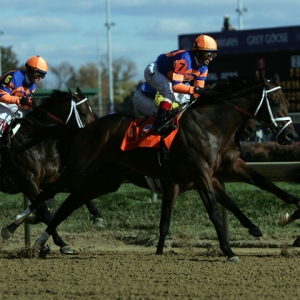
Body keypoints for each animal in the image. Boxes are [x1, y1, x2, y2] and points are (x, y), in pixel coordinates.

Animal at [0, 87, 96, 253]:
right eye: (83, 113)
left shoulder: (50, 179)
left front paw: (97, 217)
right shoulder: (29, 181)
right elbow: (44, 212)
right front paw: (61, 243)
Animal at [14, 73, 298, 262]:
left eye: (286, 100)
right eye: (276, 102)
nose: (290, 136)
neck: (211, 124)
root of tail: (84, 129)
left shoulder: (225, 168)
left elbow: (266, 185)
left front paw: (289, 213)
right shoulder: (201, 174)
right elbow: (215, 211)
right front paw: (229, 251)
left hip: (105, 179)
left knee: (70, 201)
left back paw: (45, 239)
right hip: (78, 168)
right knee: (49, 192)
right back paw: (18, 225)